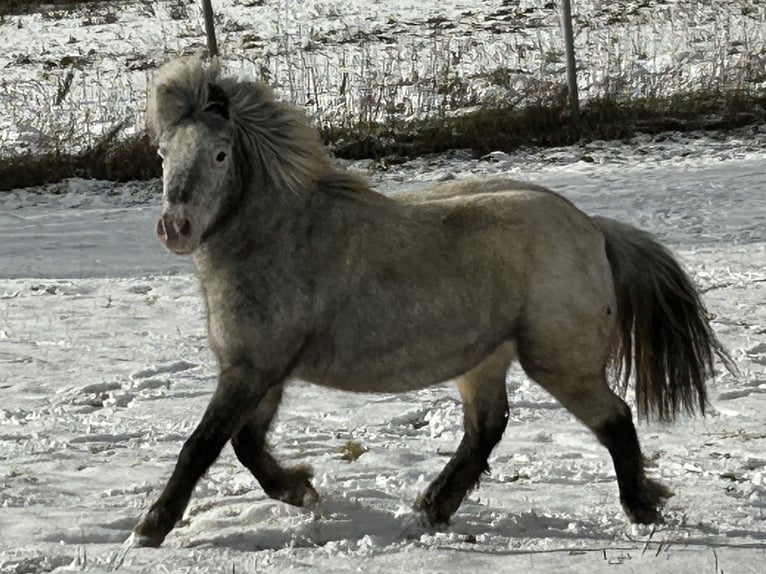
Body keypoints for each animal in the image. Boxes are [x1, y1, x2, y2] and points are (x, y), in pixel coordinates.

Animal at [134, 58, 732, 548]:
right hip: (485, 358)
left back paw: (641, 509)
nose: (175, 228)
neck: (283, 235)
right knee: (486, 428)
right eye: (162, 154)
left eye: (219, 154)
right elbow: (246, 444)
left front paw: (151, 527)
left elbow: (203, 445)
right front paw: (301, 488)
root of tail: (593, 229)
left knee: (614, 419)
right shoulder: (262, 370)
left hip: (559, 361)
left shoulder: (252, 368)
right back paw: (433, 507)